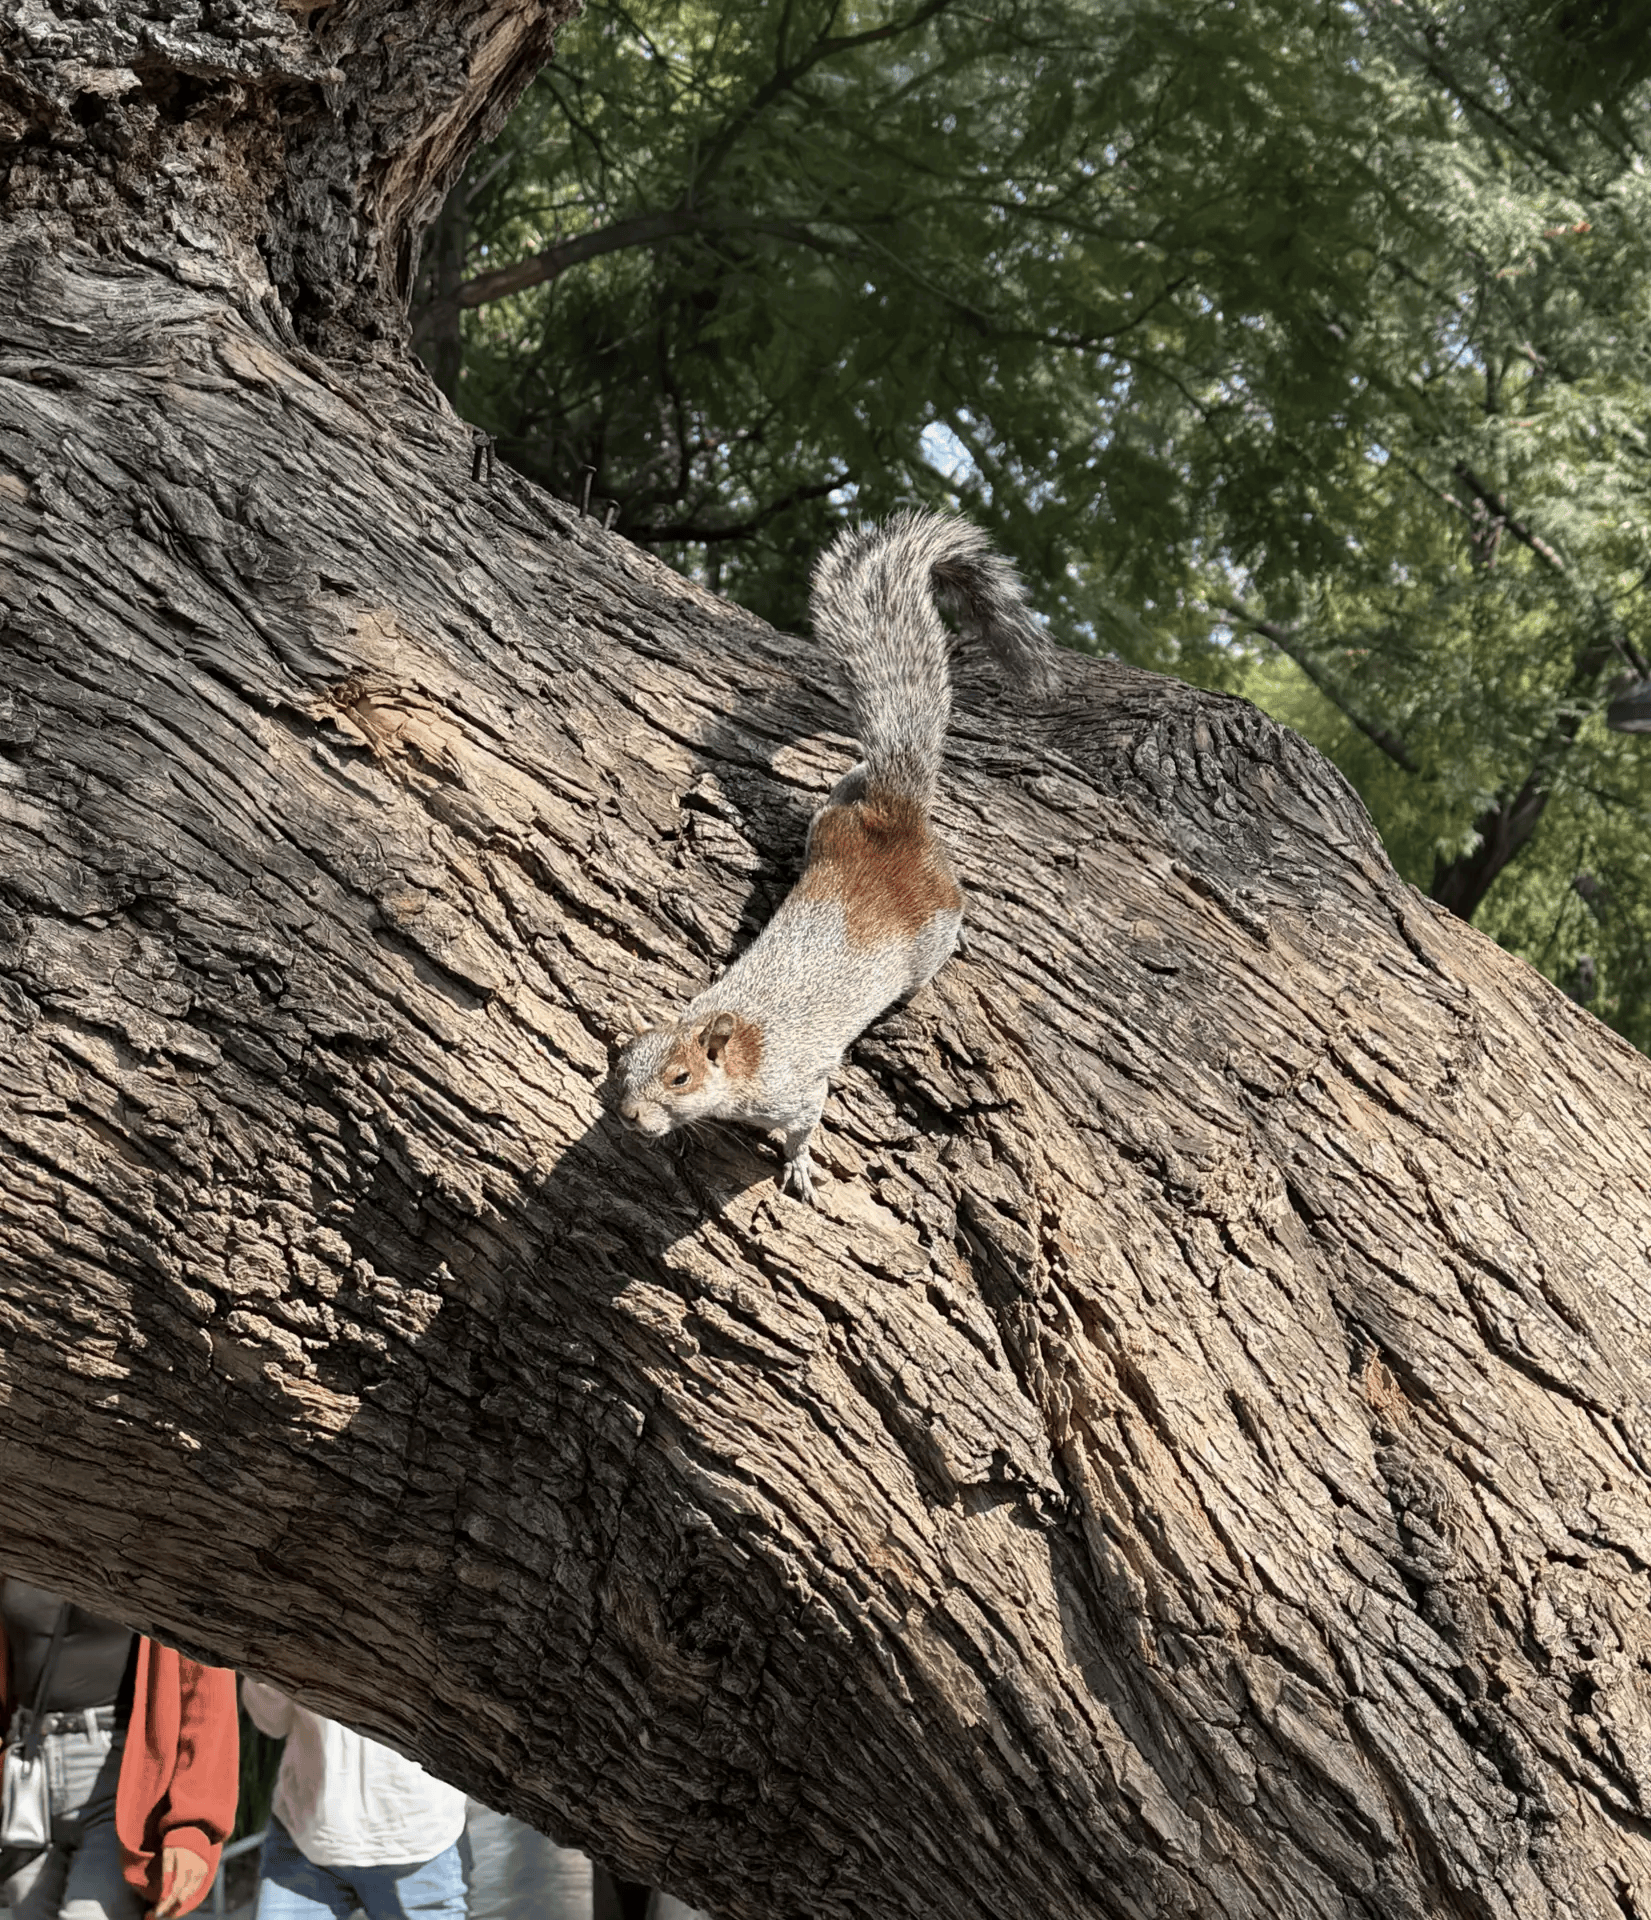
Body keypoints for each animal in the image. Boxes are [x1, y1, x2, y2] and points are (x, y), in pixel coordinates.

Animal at [609, 508, 1051, 1203]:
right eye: (621, 1058)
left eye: (681, 1078)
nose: (627, 1115)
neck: (747, 1045)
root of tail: (896, 817)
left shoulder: (797, 1087)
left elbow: (803, 1126)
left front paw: (797, 1165)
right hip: (831, 823)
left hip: (934, 926)